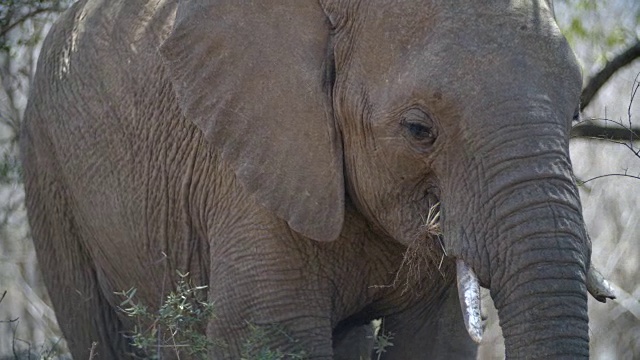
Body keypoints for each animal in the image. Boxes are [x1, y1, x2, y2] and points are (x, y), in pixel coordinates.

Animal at [21, 0, 616, 358]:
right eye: (418, 129)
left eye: (574, 114)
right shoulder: (252, 172)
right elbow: (268, 335)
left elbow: (437, 340)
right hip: (48, 170)